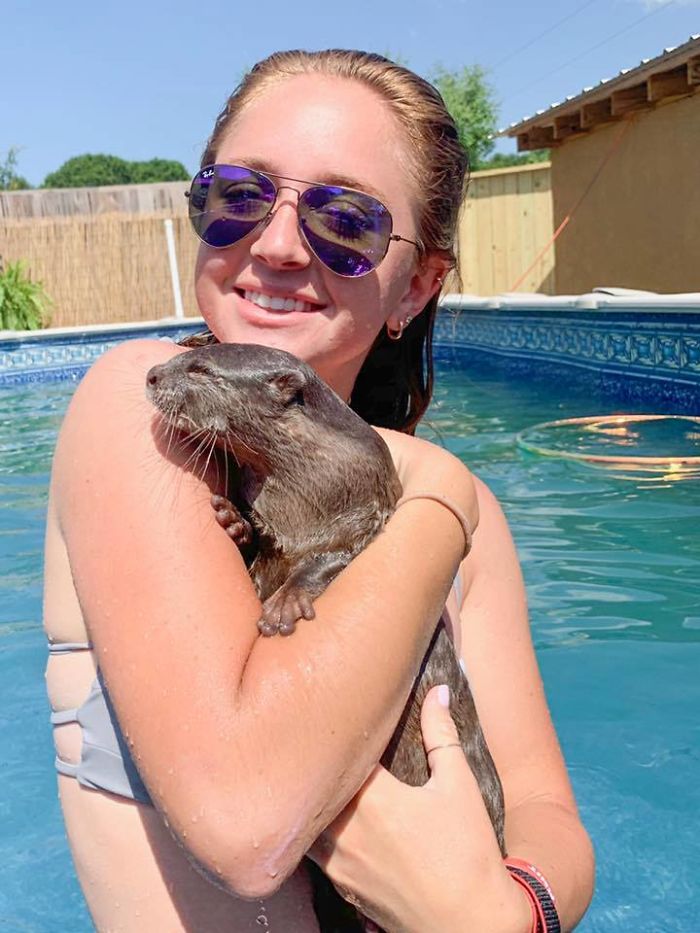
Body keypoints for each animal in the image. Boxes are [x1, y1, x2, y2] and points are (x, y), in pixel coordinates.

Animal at [146, 342, 505, 931]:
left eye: (200, 369)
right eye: (194, 352)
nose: (152, 373)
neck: (310, 490)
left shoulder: (371, 515)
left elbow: (335, 559)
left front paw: (286, 605)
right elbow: (257, 546)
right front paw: (232, 521)